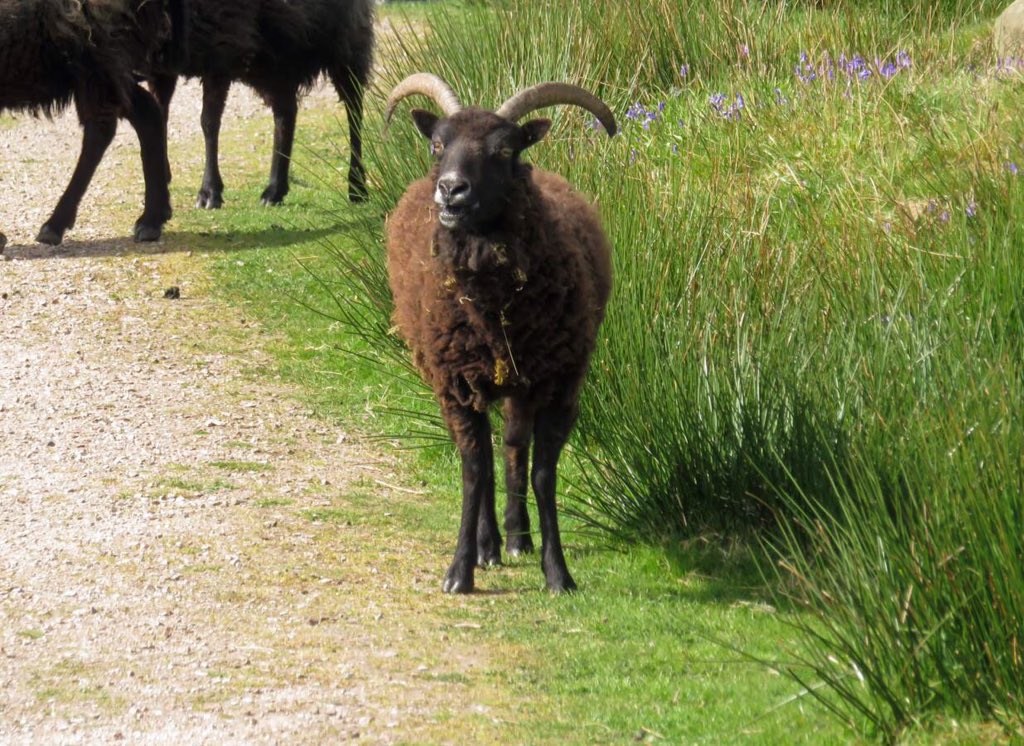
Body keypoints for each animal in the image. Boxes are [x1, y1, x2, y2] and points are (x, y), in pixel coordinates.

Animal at [146, 0, 374, 209]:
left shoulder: (222, 44)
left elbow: (208, 123)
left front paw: (209, 192)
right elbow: (158, 115)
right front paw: (161, 176)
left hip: (345, 38)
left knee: (354, 109)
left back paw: (356, 186)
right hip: (275, 55)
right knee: (285, 113)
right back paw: (274, 190)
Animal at [384, 73, 616, 594]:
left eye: (505, 150)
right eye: (437, 144)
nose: (451, 190)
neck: (493, 313)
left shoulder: (559, 384)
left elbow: (542, 474)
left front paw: (557, 572)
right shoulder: (456, 385)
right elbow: (473, 471)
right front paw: (460, 570)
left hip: (519, 382)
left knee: (511, 446)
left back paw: (514, 538)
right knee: (489, 455)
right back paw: (489, 545)